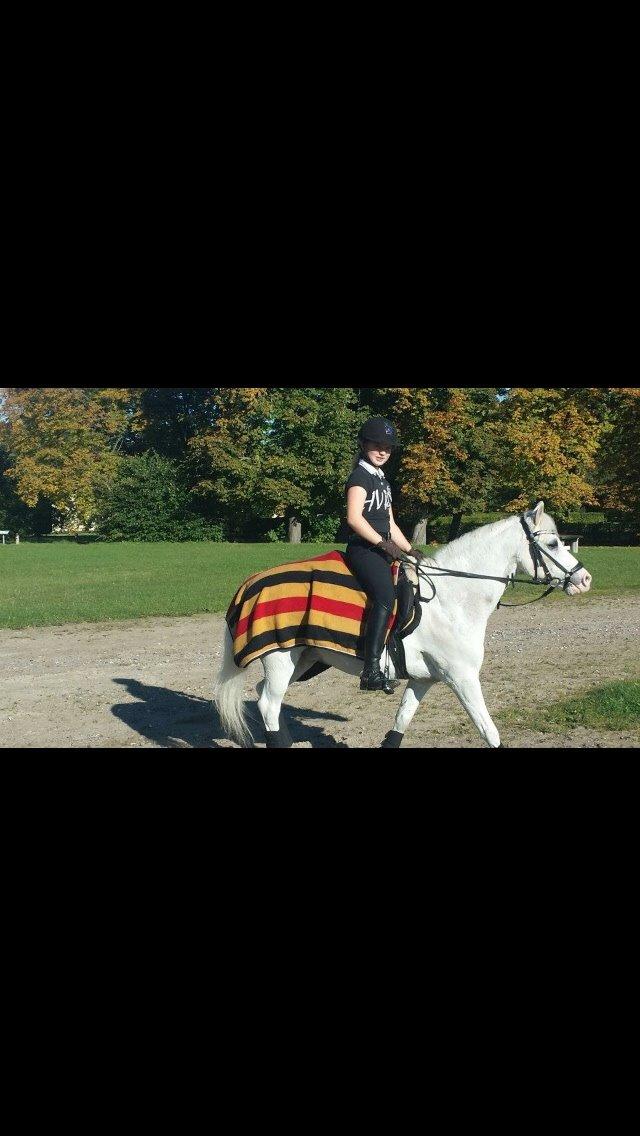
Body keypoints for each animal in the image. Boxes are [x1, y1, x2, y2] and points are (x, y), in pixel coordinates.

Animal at [213, 501, 592, 748]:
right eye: (552, 543)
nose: (585, 578)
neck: (452, 598)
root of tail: (252, 583)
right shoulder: (462, 678)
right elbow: (490, 732)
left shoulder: (425, 680)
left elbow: (400, 723)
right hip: (282, 658)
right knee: (268, 705)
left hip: (303, 659)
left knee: (266, 699)